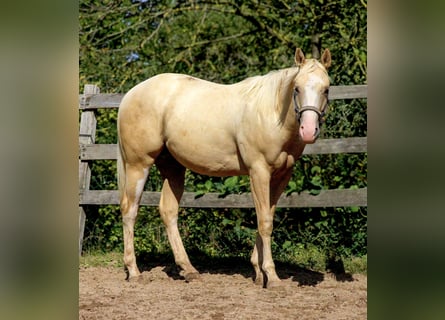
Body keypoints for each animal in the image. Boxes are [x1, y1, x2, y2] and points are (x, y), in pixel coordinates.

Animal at [117, 47, 330, 288]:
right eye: (297, 88)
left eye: (326, 89)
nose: (308, 131)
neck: (271, 113)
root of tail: (131, 94)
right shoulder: (259, 171)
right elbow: (264, 222)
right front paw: (272, 276)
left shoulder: (281, 176)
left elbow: (266, 216)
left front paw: (258, 272)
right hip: (138, 164)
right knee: (130, 210)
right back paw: (134, 271)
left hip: (172, 168)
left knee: (168, 211)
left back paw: (188, 269)